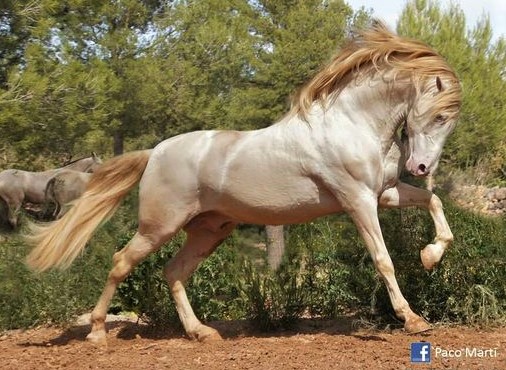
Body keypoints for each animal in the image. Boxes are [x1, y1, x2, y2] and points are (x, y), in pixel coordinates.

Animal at [26, 24, 462, 344]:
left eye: (449, 120)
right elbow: (383, 259)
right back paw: (98, 333)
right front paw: (413, 319)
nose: (420, 165)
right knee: (121, 263)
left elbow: (433, 202)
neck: (351, 123)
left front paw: (430, 257)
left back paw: (202, 333)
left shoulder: (384, 195)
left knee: (173, 271)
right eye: (439, 116)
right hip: (159, 226)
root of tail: (155, 152)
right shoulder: (358, 201)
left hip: (209, 230)